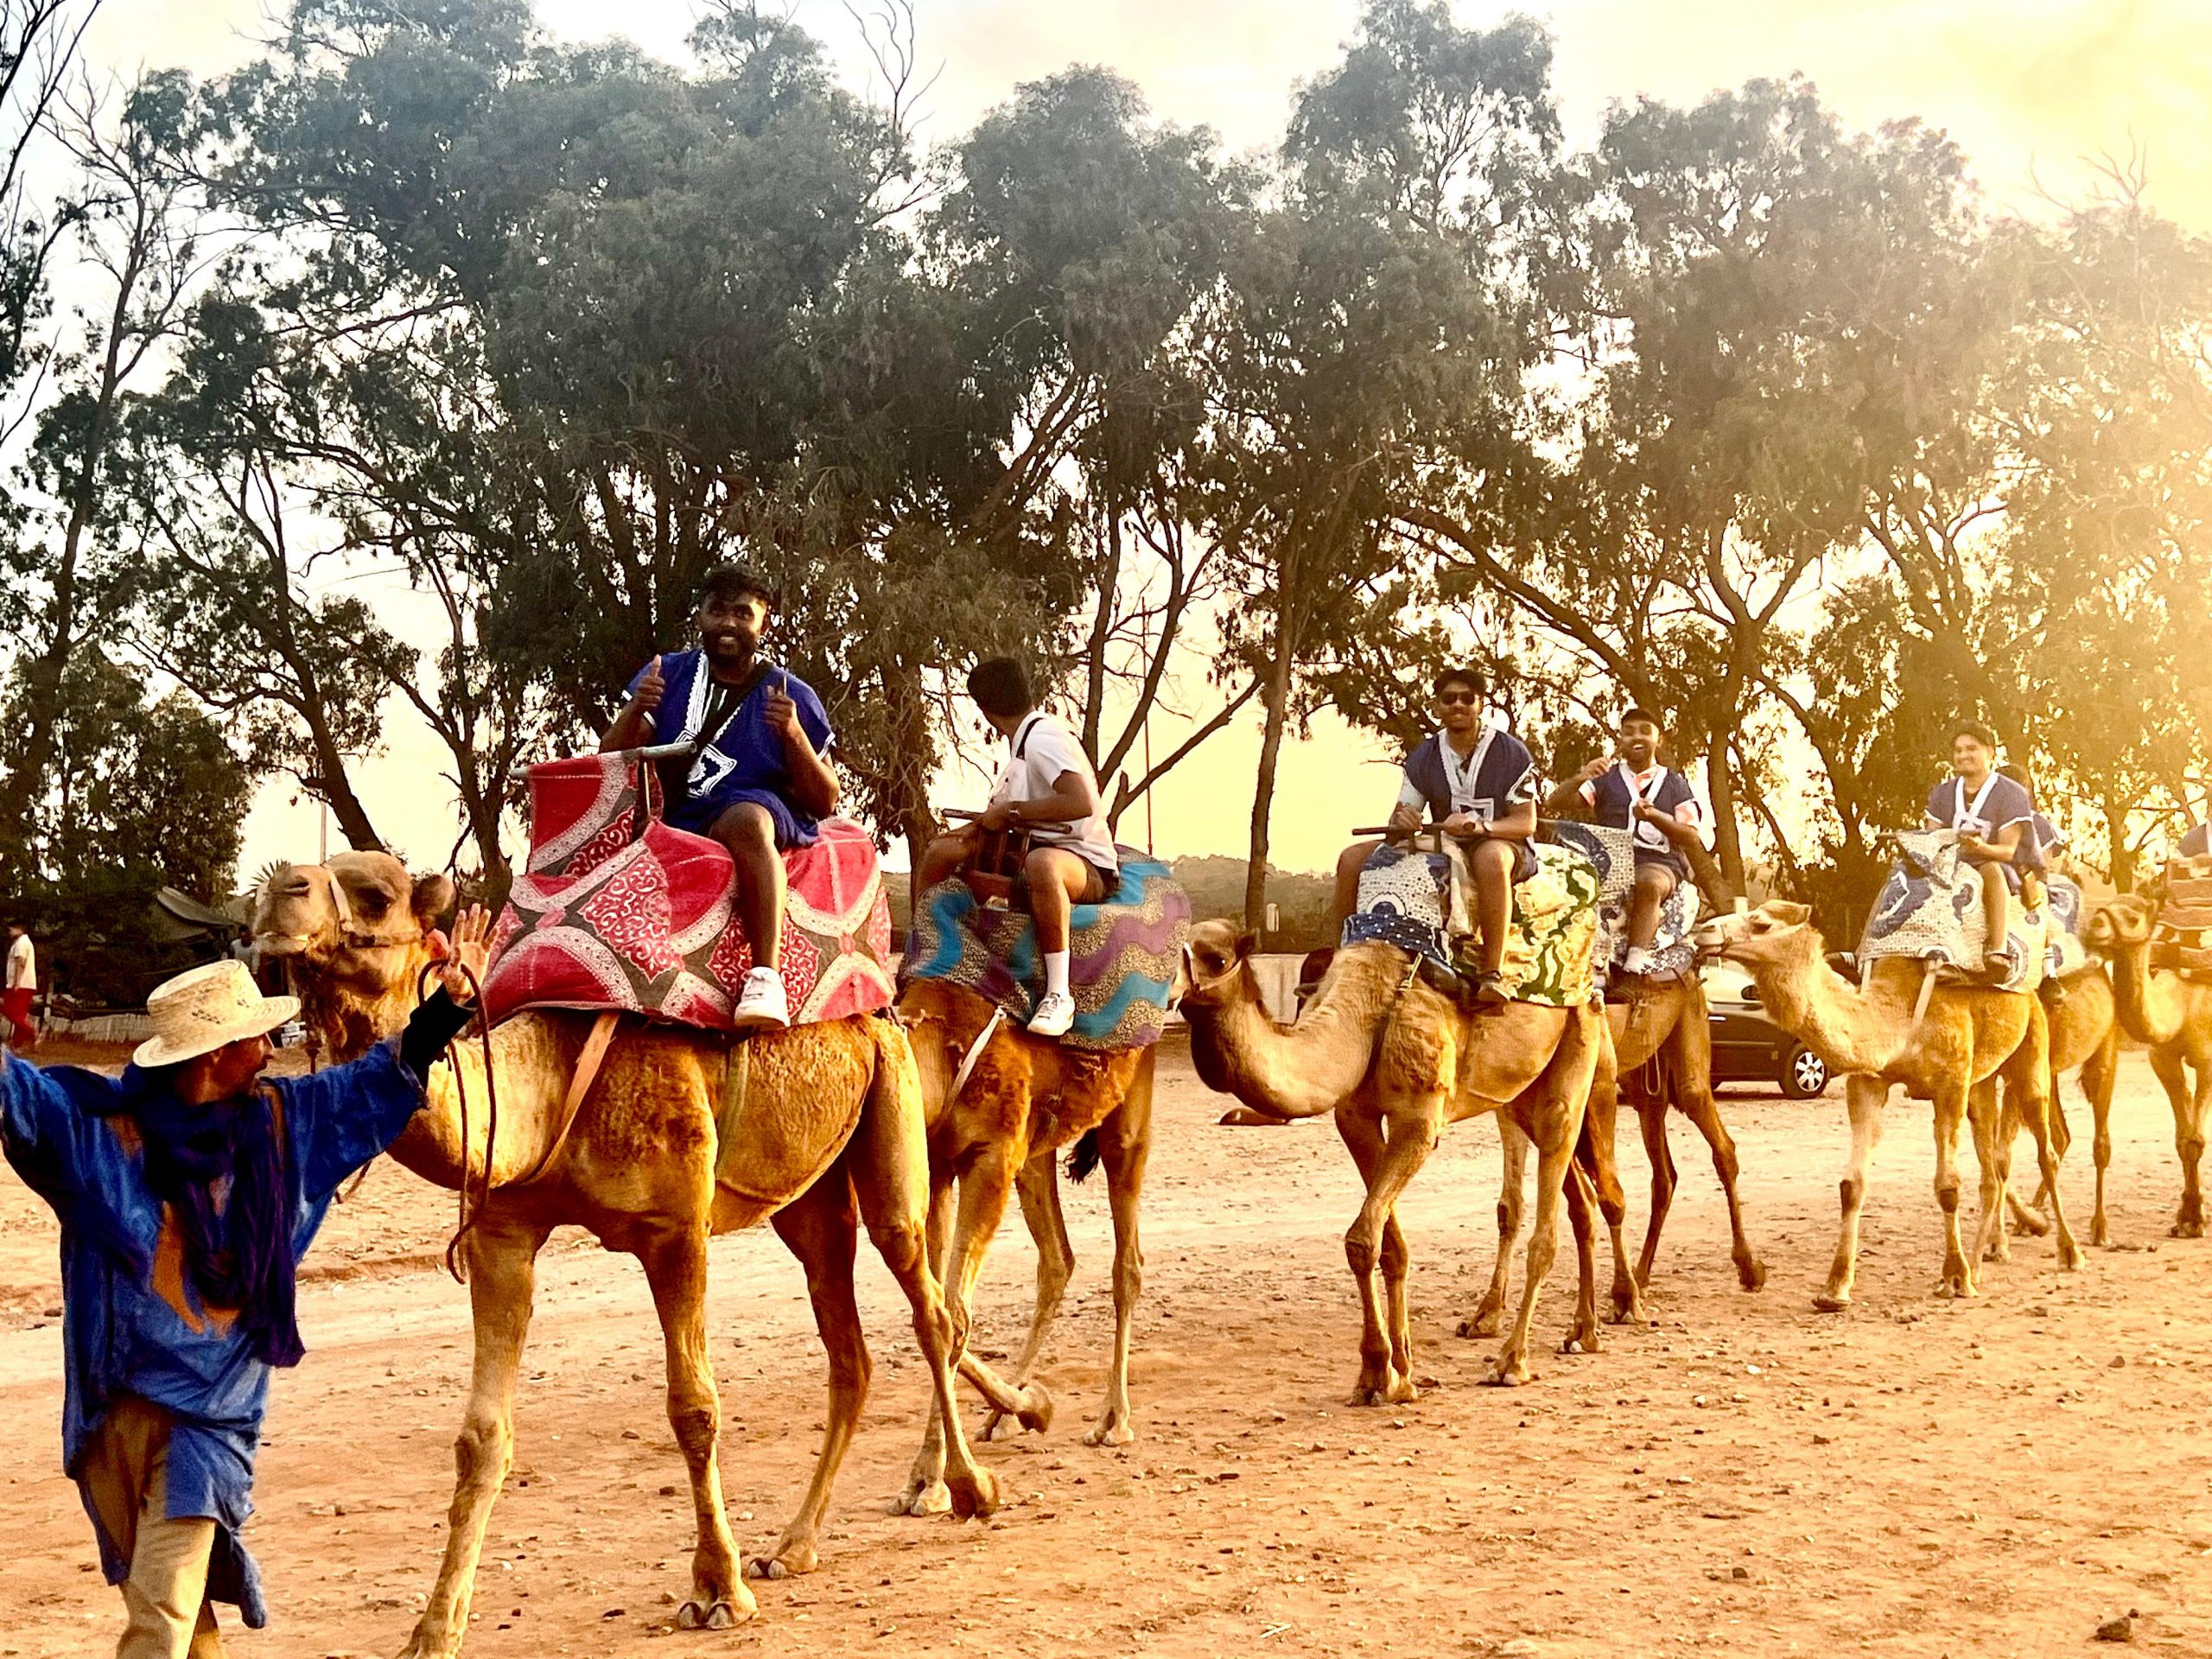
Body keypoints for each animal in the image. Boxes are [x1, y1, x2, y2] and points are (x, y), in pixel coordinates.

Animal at [253, 851, 994, 1655]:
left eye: (377, 895)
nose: (279, 891)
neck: (552, 1080)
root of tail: (884, 1004)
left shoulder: (676, 1228)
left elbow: (694, 1408)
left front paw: (717, 1589)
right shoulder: (500, 1236)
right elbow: (481, 1437)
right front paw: (434, 1629)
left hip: (892, 1106)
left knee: (929, 1308)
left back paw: (963, 1488)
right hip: (809, 1199)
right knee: (849, 1351)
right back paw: (793, 1546)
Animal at [897, 978, 1154, 1473]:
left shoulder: (992, 1160)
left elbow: (954, 1313)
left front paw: (933, 1476)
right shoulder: (938, 1167)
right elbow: (936, 1313)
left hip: (1127, 1112)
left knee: (1126, 1263)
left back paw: (1113, 1421)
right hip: (1036, 1149)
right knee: (1057, 1260)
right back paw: (1002, 1418)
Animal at [1175, 920, 1608, 1392]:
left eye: (1216, 958)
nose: (1164, 987)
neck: (1363, 1019)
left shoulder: (1418, 1122)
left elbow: (1363, 1239)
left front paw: (1379, 1374)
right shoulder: (1355, 1118)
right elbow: (1387, 1246)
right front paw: (1401, 1367)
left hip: (1575, 1054)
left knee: (1548, 1222)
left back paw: (1512, 1360)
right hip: (1519, 1095)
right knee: (1580, 1197)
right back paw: (1581, 1330)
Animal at [1697, 901, 2082, 1308]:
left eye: (1762, 923)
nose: (1704, 931)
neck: (1895, 1017)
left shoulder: (1950, 1084)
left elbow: (1948, 1186)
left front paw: (1954, 1278)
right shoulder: (1868, 1083)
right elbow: (1852, 1185)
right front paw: (1835, 1289)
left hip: (2031, 1054)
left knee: (2045, 1151)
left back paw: (2068, 1253)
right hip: (1982, 1082)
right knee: (1993, 1169)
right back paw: (1981, 1262)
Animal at [2086, 895, 2212, 1236]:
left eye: (2133, 917)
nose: (2093, 925)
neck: (2184, 1002)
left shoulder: (2209, 1060)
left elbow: (2196, 1139)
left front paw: (2196, 1220)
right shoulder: (2162, 1057)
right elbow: (2184, 1139)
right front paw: (2187, 1217)